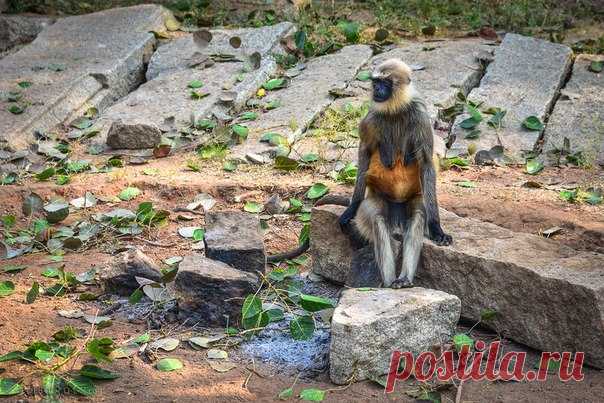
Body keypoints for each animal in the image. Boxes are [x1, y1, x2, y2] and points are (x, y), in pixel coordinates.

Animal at [338, 58, 450, 288]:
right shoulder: (371, 119)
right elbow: (364, 152)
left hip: (412, 201)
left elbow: (427, 162)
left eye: (385, 83)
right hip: (379, 200)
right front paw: (351, 207)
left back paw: (404, 279)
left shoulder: (421, 117)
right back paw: (390, 282)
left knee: (418, 216)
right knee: (378, 220)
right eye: (375, 82)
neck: (395, 110)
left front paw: (437, 229)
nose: (377, 90)